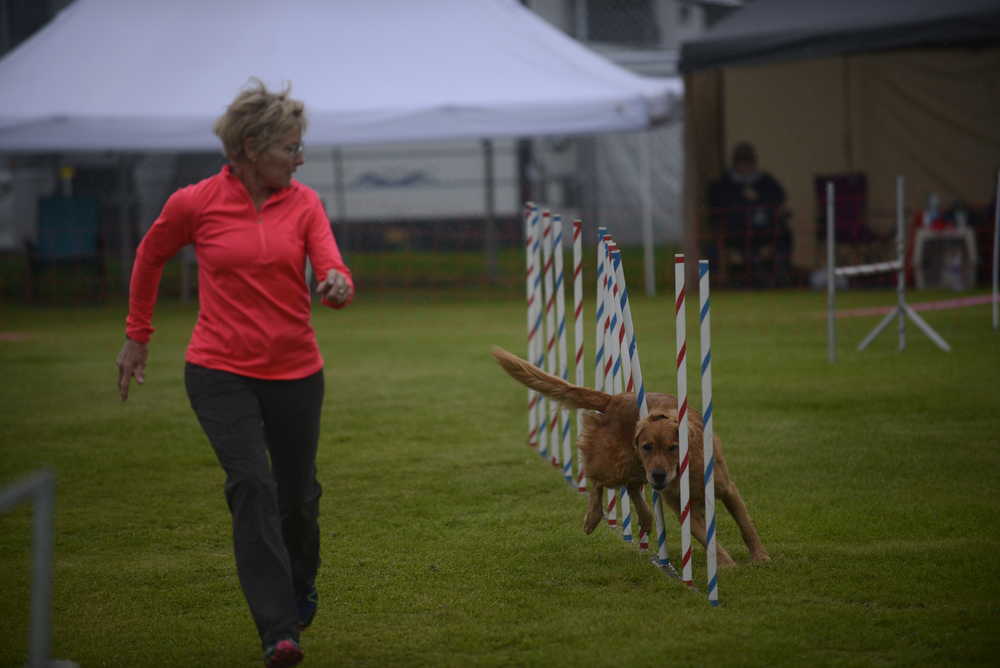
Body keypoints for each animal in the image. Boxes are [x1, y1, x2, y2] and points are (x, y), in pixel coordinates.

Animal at [494, 348, 772, 568]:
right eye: (647, 446)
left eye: (673, 447)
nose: (658, 475)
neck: (685, 467)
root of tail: (614, 398)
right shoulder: (682, 508)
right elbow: (708, 538)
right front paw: (726, 564)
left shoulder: (726, 489)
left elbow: (746, 526)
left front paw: (760, 556)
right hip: (618, 462)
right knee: (597, 479)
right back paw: (593, 516)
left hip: (635, 467)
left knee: (632, 487)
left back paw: (647, 519)